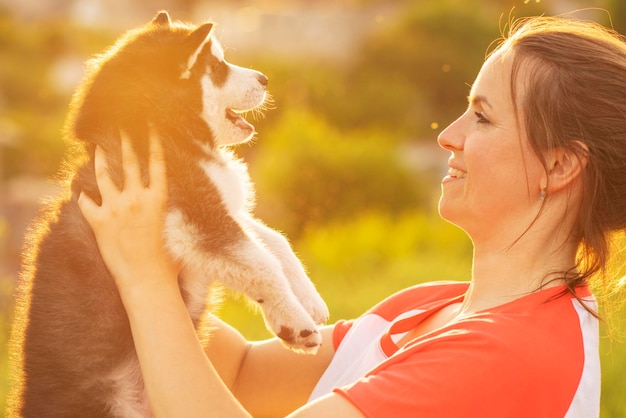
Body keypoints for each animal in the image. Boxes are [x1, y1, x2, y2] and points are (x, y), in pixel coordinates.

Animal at [7, 11, 330, 416]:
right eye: (217, 67)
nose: (265, 78)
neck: (163, 130)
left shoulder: (222, 209)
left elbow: (276, 242)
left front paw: (307, 298)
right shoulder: (196, 220)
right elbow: (262, 262)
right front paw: (294, 320)